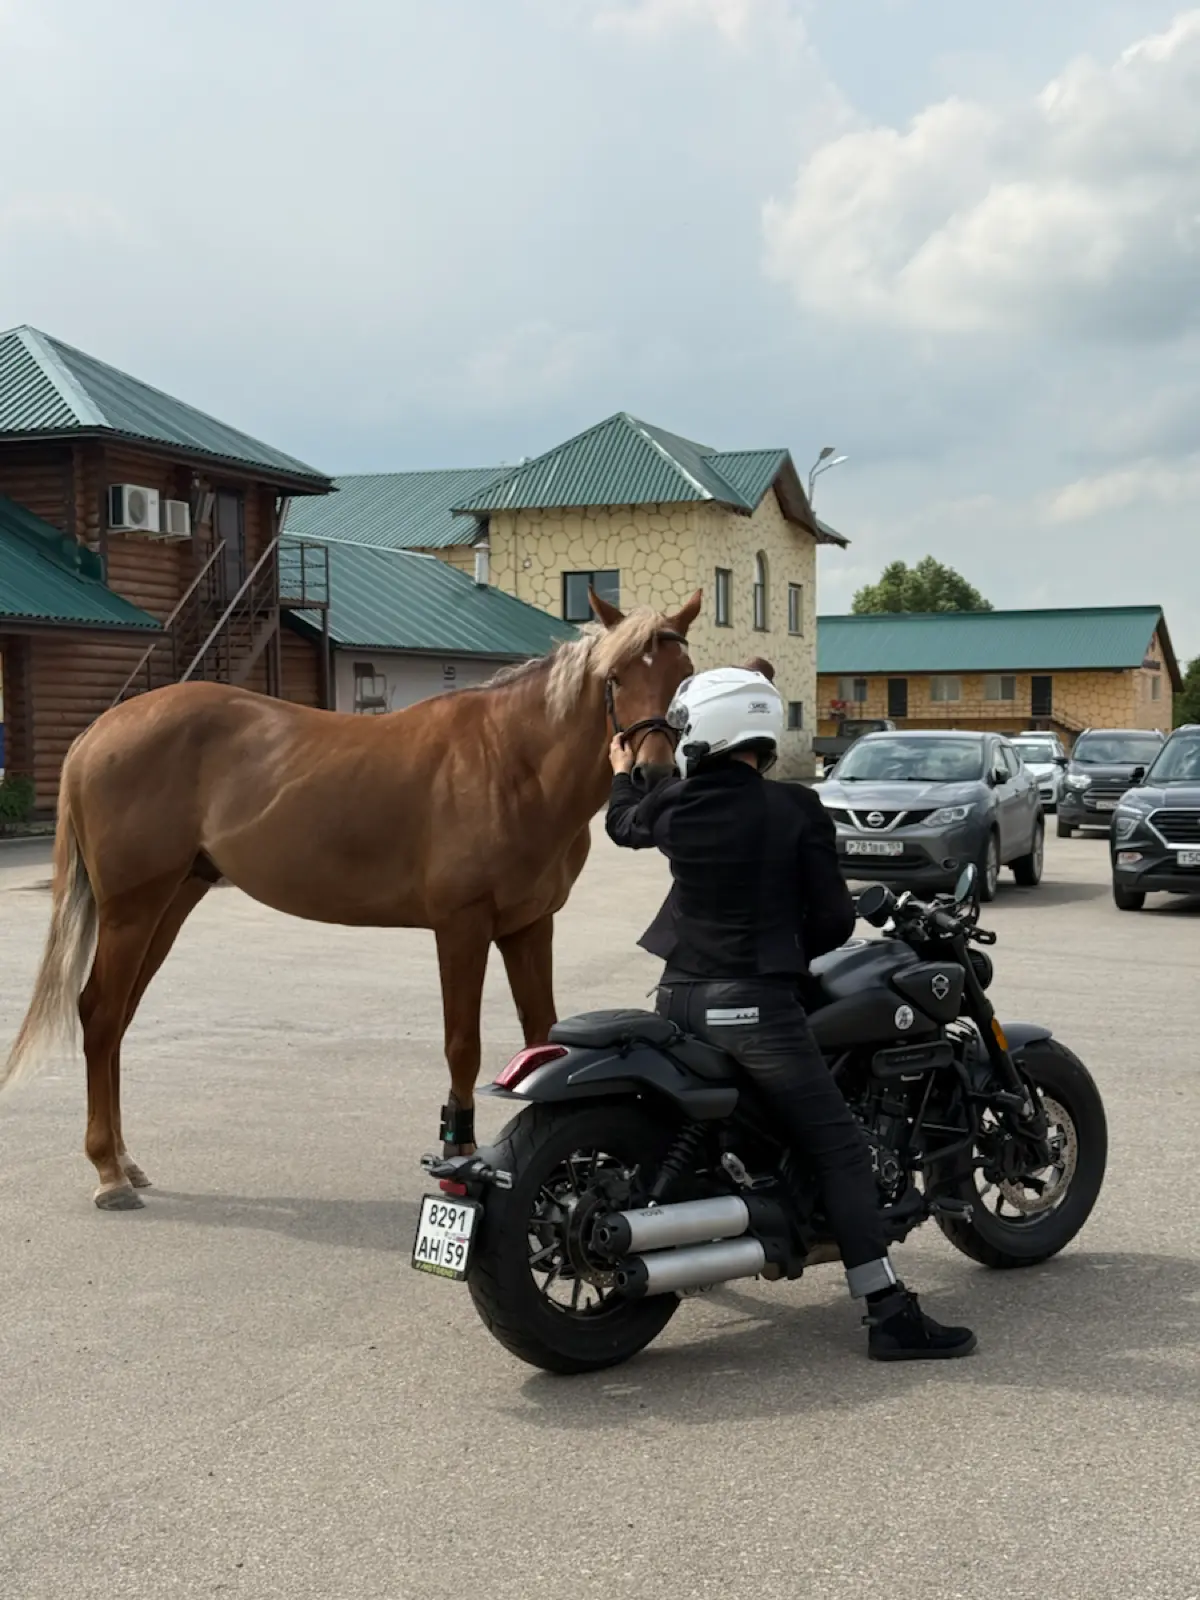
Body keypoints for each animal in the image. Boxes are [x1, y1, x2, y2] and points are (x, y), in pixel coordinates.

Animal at [1, 587, 702, 1210]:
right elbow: (463, 1043)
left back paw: (125, 1161)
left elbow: (541, 1033)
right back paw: (107, 1174)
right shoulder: (462, 926)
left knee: (117, 1018)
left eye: (685, 676)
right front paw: (458, 1159)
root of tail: (99, 732)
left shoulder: (530, 926)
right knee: (98, 1014)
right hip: (131, 908)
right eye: (614, 677)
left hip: (171, 901)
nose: (653, 775)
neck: (511, 762)